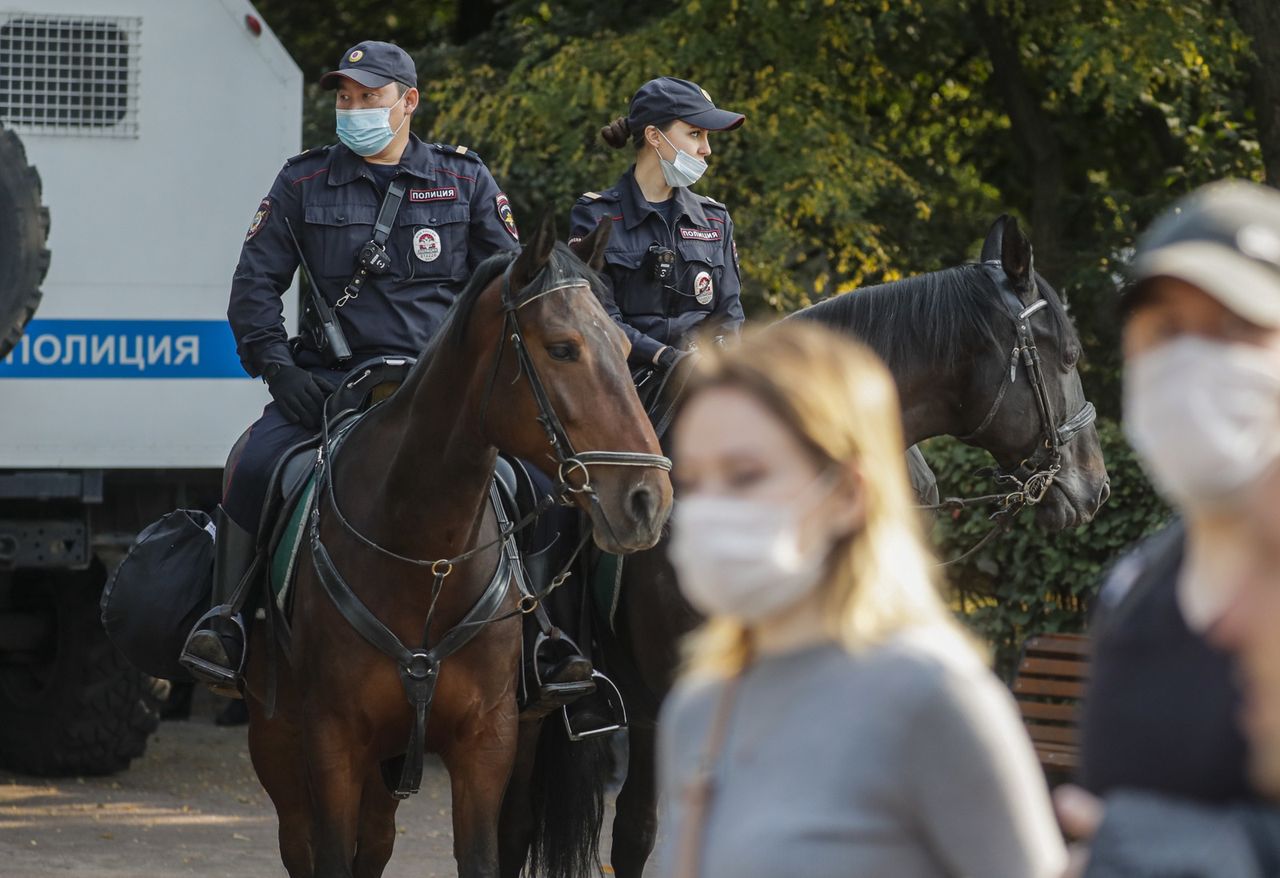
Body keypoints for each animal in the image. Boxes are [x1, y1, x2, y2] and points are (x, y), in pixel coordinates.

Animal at [243, 215, 675, 878]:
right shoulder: (332, 741)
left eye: (627, 352)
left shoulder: (487, 742)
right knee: (303, 844)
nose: (647, 498)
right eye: (562, 348)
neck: (427, 558)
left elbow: (481, 853)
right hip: (279, 743)